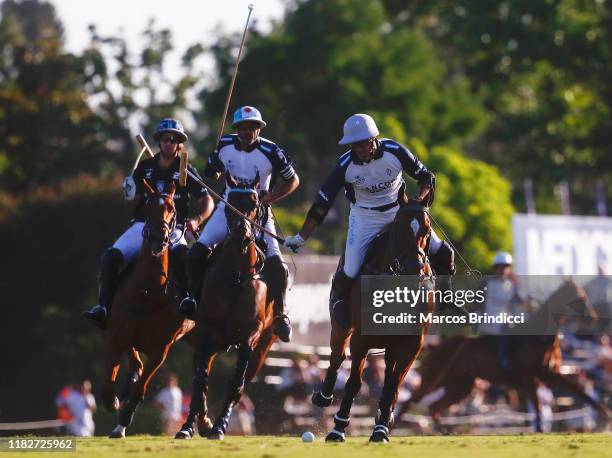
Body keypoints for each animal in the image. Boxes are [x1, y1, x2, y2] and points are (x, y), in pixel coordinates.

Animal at [101, 181, 195, 438]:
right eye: (149, 206)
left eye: (172, 209)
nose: (158, 239)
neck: (145, 293)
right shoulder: (116, 337)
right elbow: (108, 384)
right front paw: (116, 400)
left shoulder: (161, 349)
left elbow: (141, 388)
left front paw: (123, 420)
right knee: (112, 255)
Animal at [176, 172, 278, 440]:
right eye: (231, 204)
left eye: (254, 203)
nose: (242, 234)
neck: (237, 273)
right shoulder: (206, 328)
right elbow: (200, 381)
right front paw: (186, 427)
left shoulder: (251, 334)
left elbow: (236, 382)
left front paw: (220, 426)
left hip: (263, 346)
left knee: (241, 384)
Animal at [310, 199, 436, 442]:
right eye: (399, 227)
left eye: (427, 229)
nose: (414, 270)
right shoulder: (360, 339)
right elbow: (354, 383)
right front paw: (338, 428)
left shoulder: (412, 343)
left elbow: (393, 385)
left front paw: (381, 429)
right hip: (341, 326)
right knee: (337, 356)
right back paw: (323, 396)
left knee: (389, 377)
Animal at [400, 278, 608, 432]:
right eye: (579, 296)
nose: (592, 318)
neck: (540, 338)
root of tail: (436, 346)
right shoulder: (530, 376)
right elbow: (537, 404)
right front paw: (539, 429)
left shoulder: (549, 374)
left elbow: (579, 391)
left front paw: (605, 415)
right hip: (434, 378)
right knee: (410, 401)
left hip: (461, 384)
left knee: (434, 407)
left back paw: (445, 431)